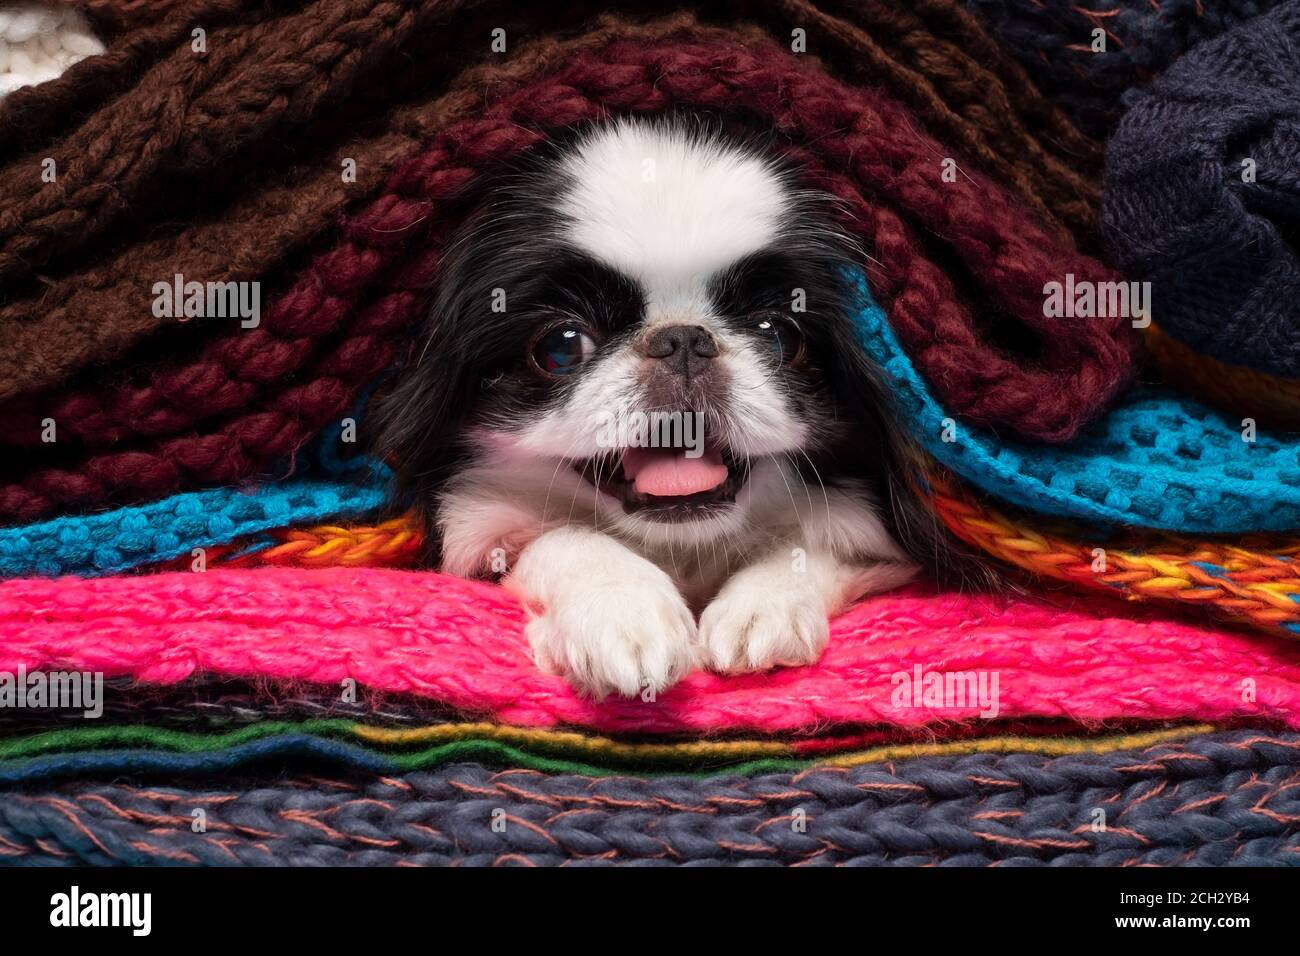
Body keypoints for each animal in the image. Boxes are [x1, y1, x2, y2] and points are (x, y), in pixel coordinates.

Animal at [371, 115, 961, 697]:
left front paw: (765, 606)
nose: (682, 340)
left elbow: (816, 542)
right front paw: (623, 609)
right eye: (561, 346)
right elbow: (566, 537)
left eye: (779, 335)